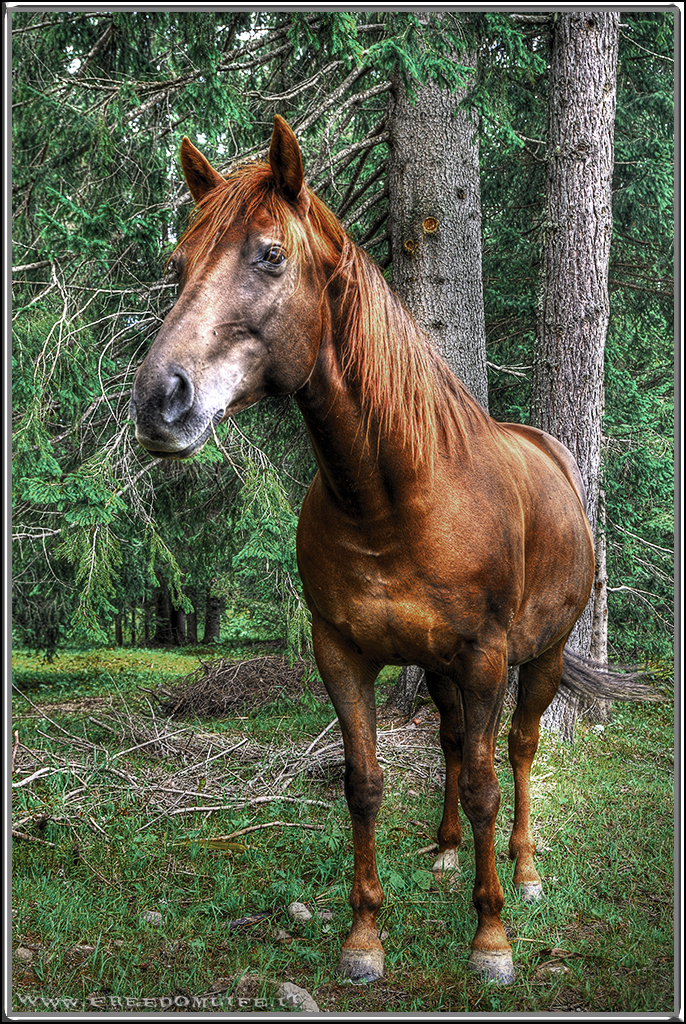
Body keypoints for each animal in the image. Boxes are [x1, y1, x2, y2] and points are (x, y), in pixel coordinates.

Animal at [130, 112, 659, 983]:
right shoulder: (342, 653)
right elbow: (366, 784)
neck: (391, 499)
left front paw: (491, 937)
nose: (158, 401)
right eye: (178, 265)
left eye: (270, 255)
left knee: (517, 750)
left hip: (540, 657)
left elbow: (484, 783)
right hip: (439, 667)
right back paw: (445, 853)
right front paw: (364, 935)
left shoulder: (485, 657)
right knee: (449, 741)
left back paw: (522, 870)